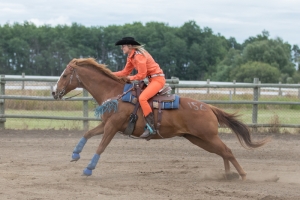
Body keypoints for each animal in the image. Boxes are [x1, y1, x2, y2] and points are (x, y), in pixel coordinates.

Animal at [51, 57, 270, 180]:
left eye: (64, 75)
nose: (54, 92)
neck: (115, 94)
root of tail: (208, 107)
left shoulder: (112, 126)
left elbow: (101, 146)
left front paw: (88, 169)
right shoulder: (107, 124)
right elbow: (88, 134)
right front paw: (75, 154)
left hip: (207, 136)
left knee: (228, 151)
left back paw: (242, 175)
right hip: (199, 139)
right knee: (223, 152)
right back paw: (227, 175)